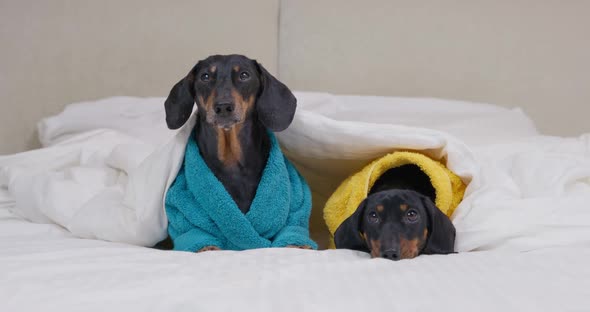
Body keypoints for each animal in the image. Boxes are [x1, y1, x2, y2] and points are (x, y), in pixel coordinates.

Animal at [161, 54, 302, 251]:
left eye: (244, 75)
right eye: (205, 76)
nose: (223, 107)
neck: (231, 159)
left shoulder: (294, 211)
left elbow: (292, 234)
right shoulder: (185, 220)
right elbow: (199, 238)